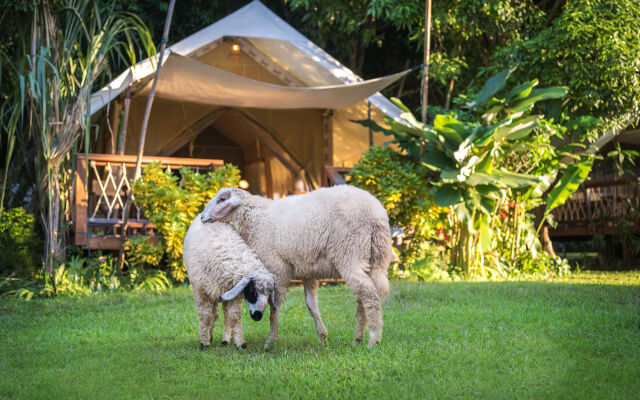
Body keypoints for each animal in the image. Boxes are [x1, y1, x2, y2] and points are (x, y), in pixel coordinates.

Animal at [182, 216, 278, 350]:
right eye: (252, 292)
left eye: (269, 294)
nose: (257, 316)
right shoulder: (200, 292)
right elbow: (205, 316)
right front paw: (204, 343)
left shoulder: (233, 294)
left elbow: (234, 316)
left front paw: (240, 343)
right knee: (212, 314)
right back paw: (210, 336)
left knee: (225, 316)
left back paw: (225, 339)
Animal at [201, 186, 396, 348]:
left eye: (221, 199)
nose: (202, 217)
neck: (256, 220)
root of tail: (375, 213)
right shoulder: (307, 272)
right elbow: (312, 305)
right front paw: (322, 338)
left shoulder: (276, 268)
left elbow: (274, 306)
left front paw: (270, 341)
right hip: (376, 258)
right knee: (365, 295)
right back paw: (358, 338)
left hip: (349, 252)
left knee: (368, 294)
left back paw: (373, 339)